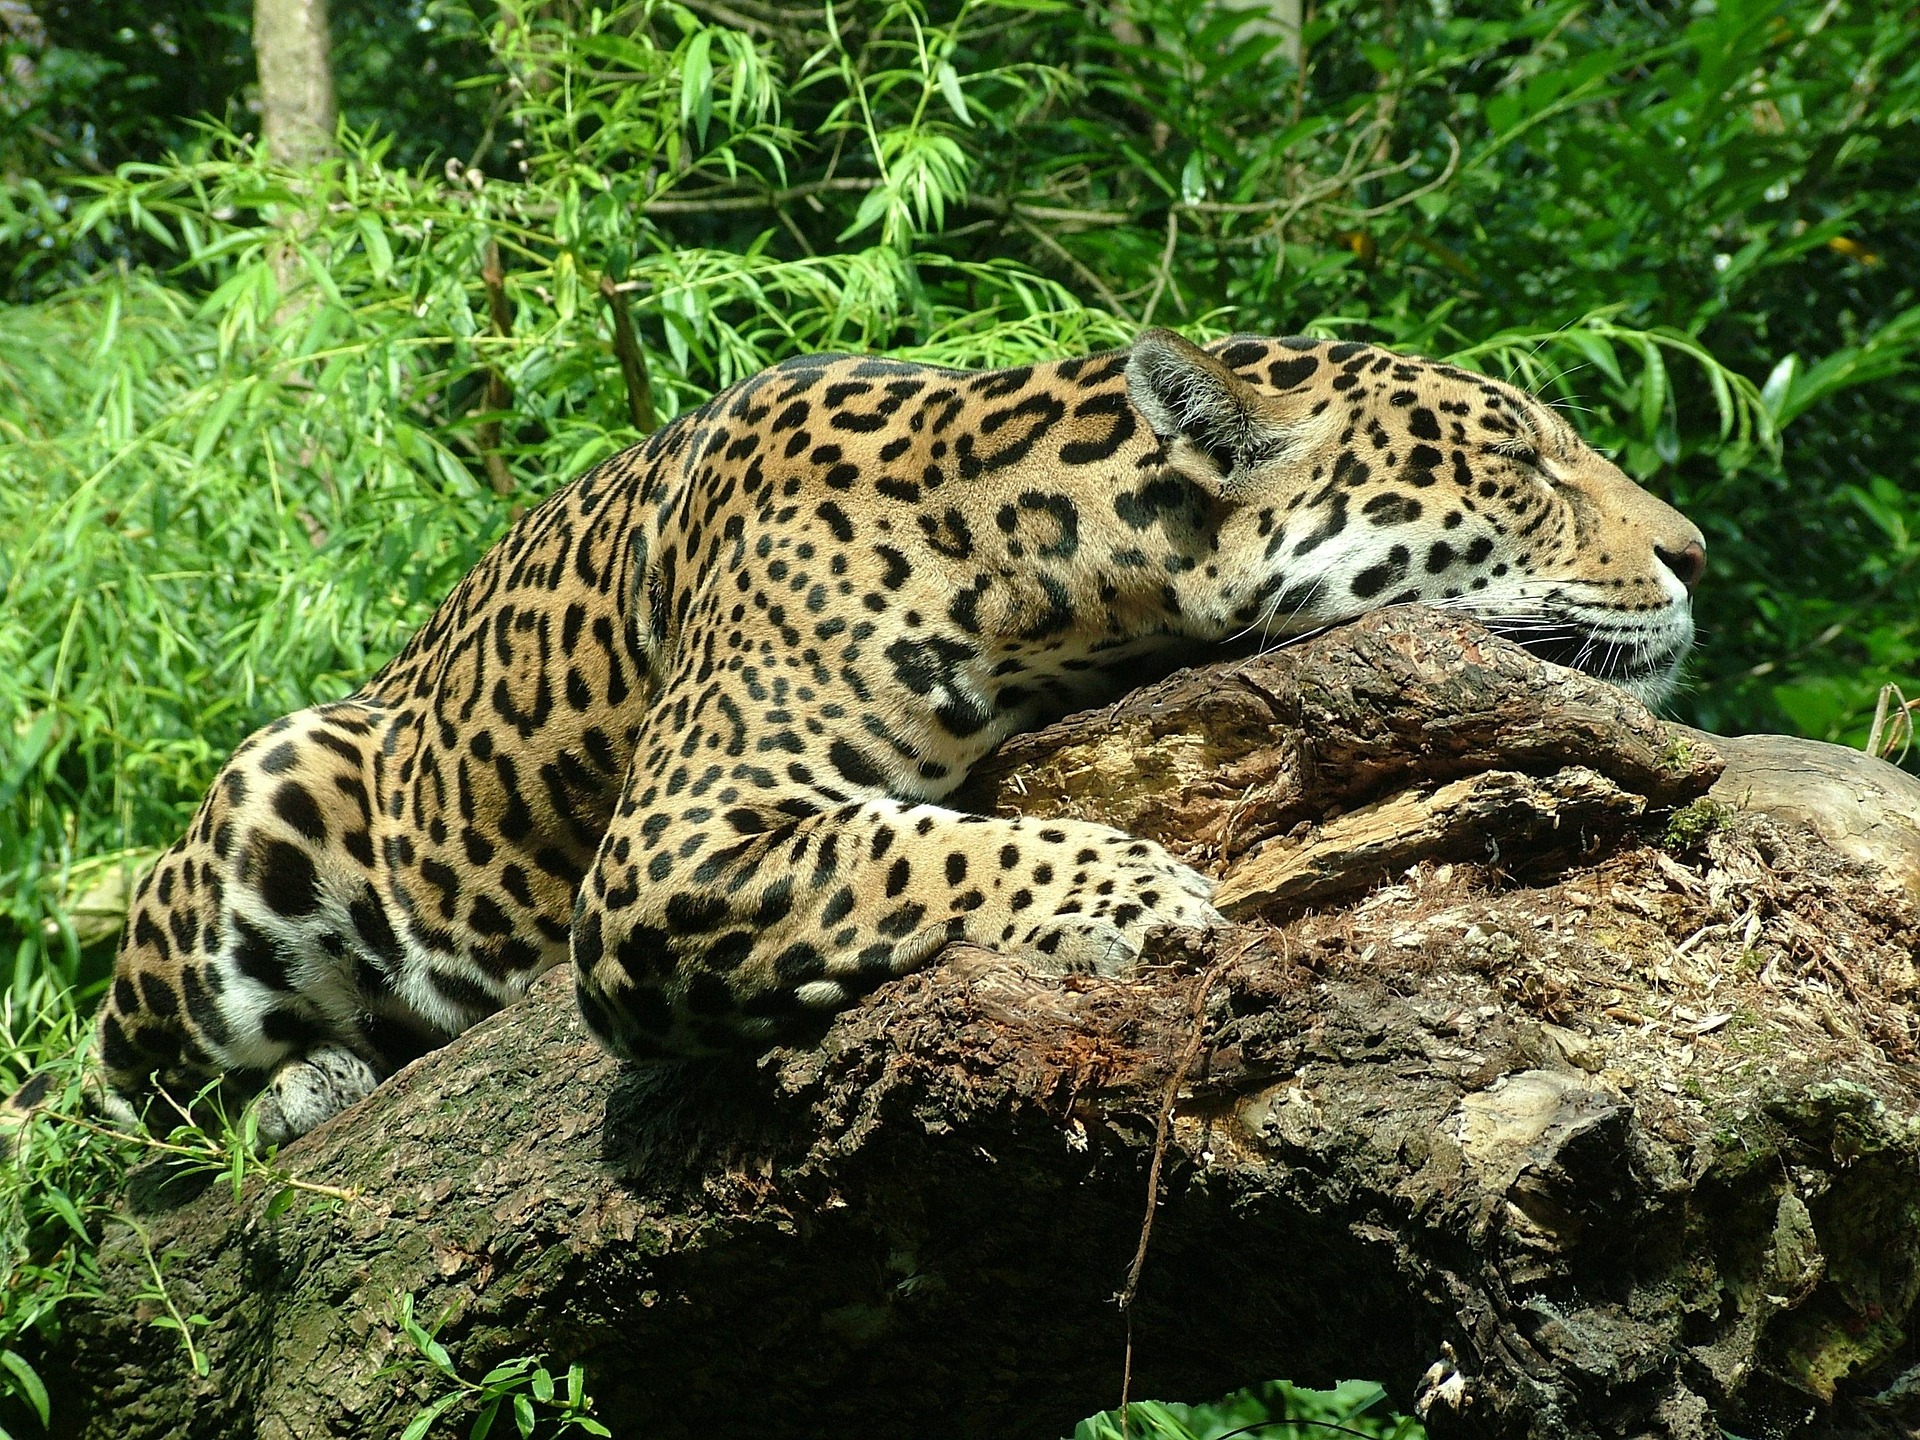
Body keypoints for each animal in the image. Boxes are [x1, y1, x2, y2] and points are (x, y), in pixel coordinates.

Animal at [80, 328, 1706, 1144]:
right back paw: (294, 1085)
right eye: (1520, 459)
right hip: (262, 817)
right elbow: (908, 851)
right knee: (115, 1117)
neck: (1054, 557)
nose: (1695, 552)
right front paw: (1141, 896)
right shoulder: (671, 848)